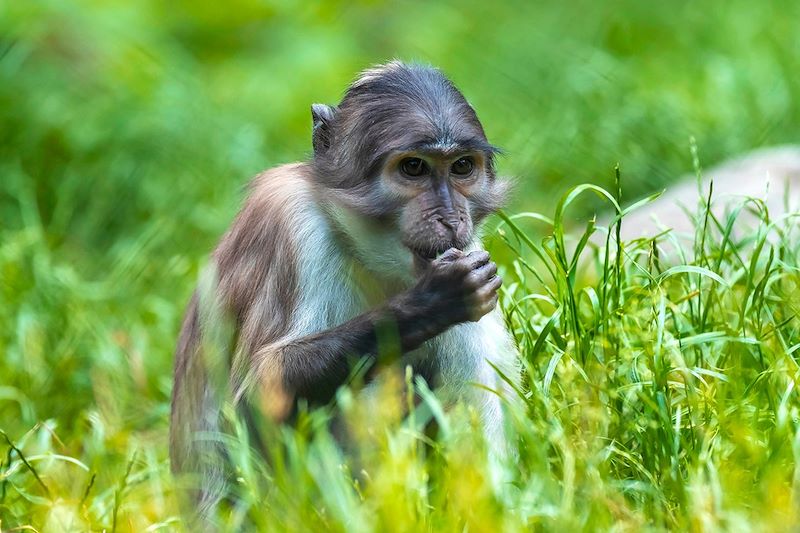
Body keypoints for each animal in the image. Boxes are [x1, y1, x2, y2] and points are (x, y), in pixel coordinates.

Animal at [170, 60, 520, 516]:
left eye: (462, 167)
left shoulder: (470, 249)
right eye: (414, 168)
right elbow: (258, 395)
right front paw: (433, 302)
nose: (450, 218)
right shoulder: (294, 224)